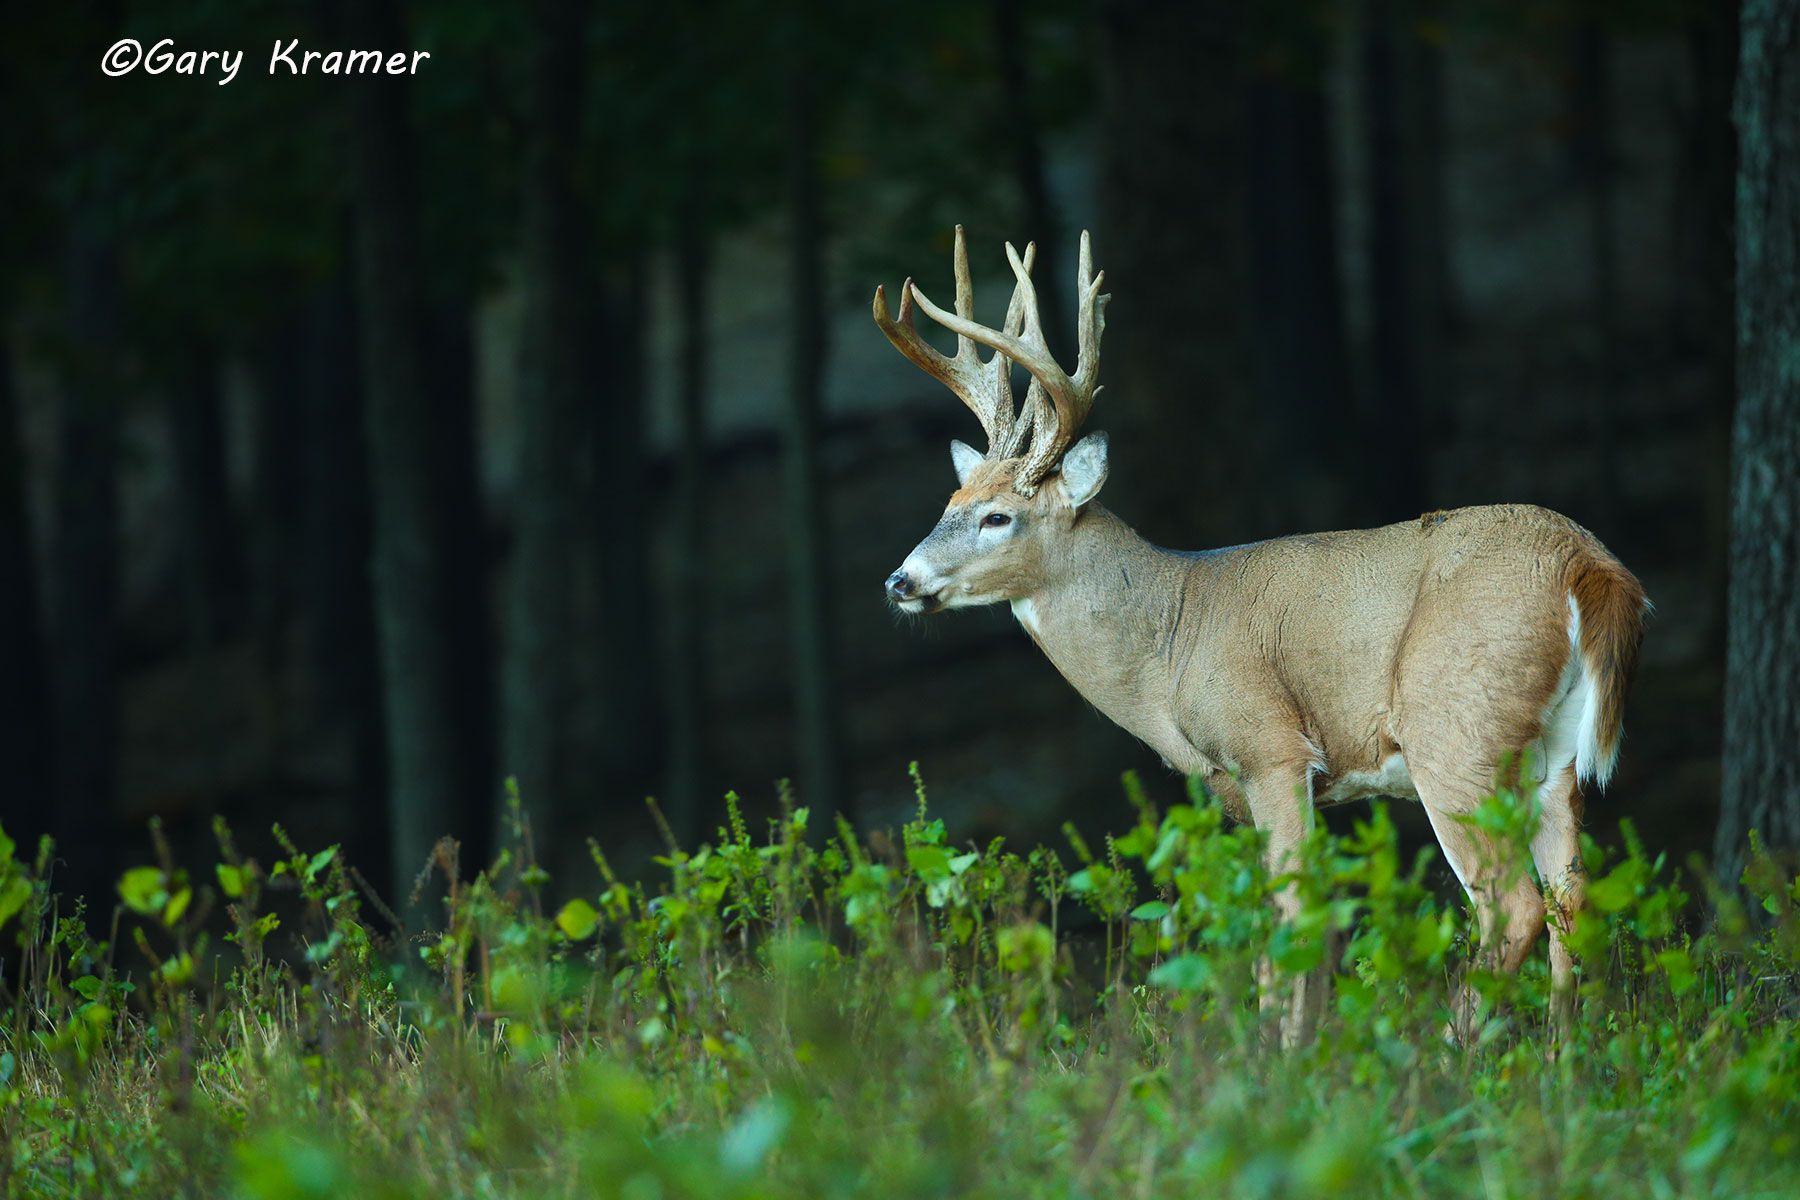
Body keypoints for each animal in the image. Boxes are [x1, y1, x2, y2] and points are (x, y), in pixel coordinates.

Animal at [874, 227, 1646, 1034]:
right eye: (949, 502)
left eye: (998, 517)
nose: (899, 581)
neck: (1169, 643)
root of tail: (1590, 567)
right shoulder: (1248, 785)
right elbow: (1315, 926)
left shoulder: (1269, 746)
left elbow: (1290, 919)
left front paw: (1282, 1054)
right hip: (1554, 756)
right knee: (1573, 902)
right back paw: (1561, 1059)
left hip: (1456, 730)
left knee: (1512, 907)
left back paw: (1449, 1052)